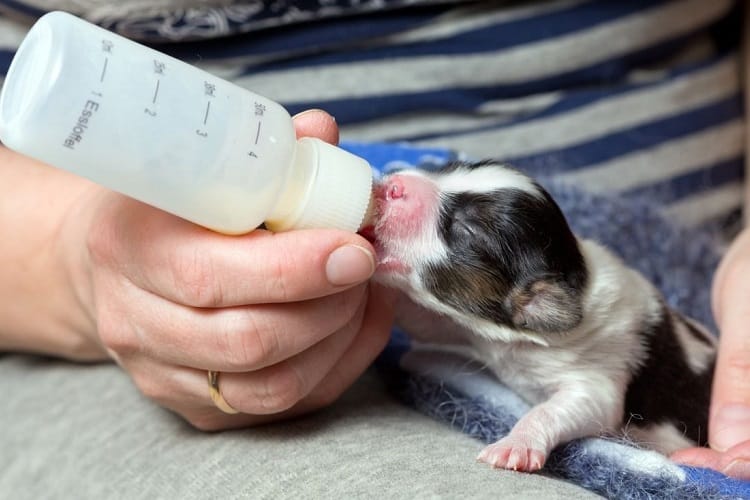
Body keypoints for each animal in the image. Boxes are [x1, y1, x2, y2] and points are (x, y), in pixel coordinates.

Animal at [368, 163, 720, 472]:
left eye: (466, 230)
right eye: (449, 168)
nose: (393, 184)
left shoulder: (597, 376)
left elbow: (556, 409)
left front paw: (516, 445)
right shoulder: (464, 325)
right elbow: (421, 321)